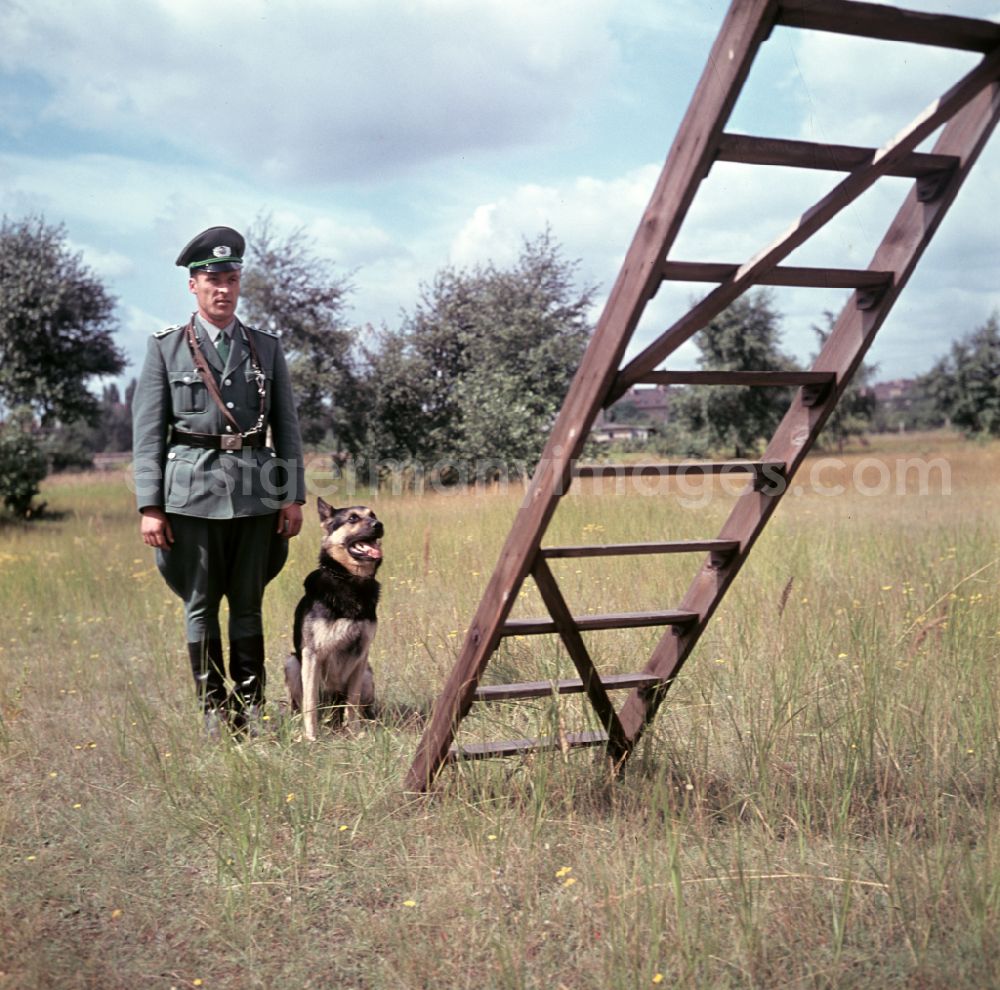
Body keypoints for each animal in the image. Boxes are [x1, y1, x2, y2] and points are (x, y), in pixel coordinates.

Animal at [290, 500, 386, 740]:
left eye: (373, 515)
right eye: (352, 518)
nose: (379, 525)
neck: (350, 580)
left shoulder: (361, 655)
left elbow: (352, 702)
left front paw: (355, 734)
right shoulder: (312, 654)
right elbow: (310, 702)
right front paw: (311, 737)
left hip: (367, 674)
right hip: (293, 664)